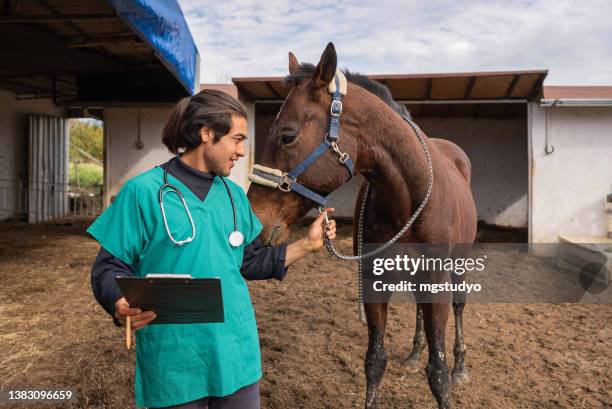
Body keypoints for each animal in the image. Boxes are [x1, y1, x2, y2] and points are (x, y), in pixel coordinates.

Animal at [246, 43, 476, 406]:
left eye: (287, 136)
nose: (256, 219)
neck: (406, 195)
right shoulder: (373, 278)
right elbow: (375, 361)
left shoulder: (436, 276)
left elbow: (438, 373)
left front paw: (448, 371)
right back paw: (414, 354)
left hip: (459, 262)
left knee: (459, 305)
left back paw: (461, 365)